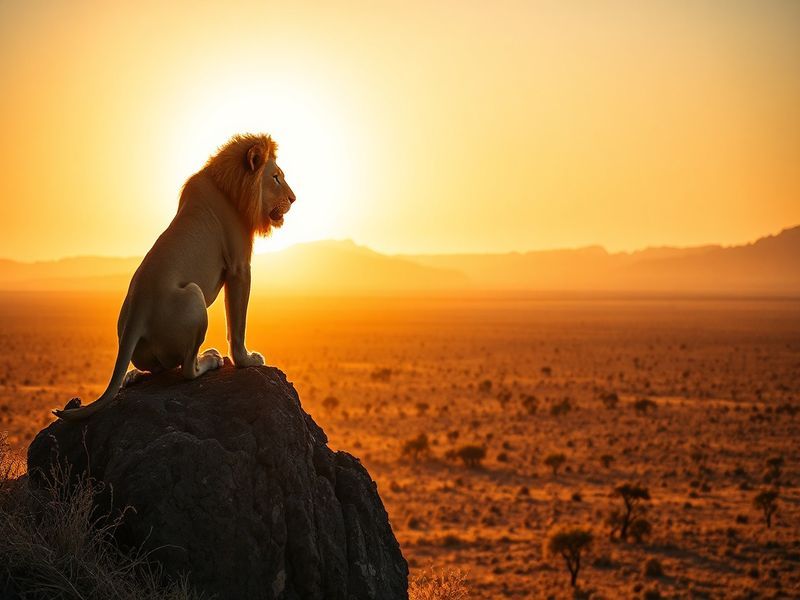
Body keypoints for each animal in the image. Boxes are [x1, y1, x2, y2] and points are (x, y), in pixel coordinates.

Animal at [53, 133, 296, 420]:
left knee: (161, 368)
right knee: (187, 370)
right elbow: (237, 325)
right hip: (193, 295)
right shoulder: (239, 267)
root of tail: (136, 317)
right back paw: (209, 359)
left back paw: (133, 375)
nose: (294, 199)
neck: (228, 185)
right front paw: (246, 360)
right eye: (276, 177)